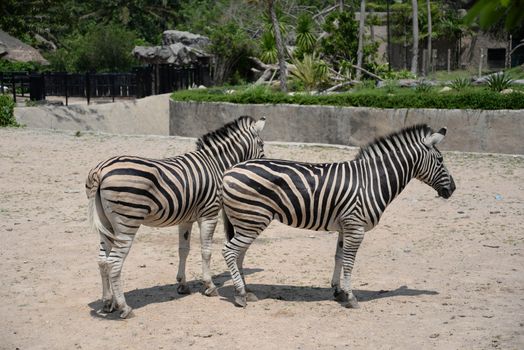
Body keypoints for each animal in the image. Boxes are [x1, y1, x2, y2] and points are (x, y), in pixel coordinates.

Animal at [87, 116, 266, 318]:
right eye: (261, 144)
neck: (216, 164)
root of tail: (101, 170)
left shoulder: (186, 219)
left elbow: (183, 250)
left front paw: (182, 284)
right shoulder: (209, 213)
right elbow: (206, 251)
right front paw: (209, 286)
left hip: (106, 224)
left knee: (102, 261)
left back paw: (107, 302)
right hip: (127, 222)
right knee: (114, 263)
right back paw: (124, 307)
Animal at [221, 124, 454, 308]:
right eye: (440, 159)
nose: (452, 189)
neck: (372, 181)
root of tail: (229, 170)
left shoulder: (345, 226)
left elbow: (339, 257)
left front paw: (338, 291)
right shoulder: (356, 227)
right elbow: (350, 262)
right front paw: (351, 297)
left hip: (246, 221)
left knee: (239, 254)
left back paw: (246, 291)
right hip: (253, 219)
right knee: (230, 251)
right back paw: (240, 295)